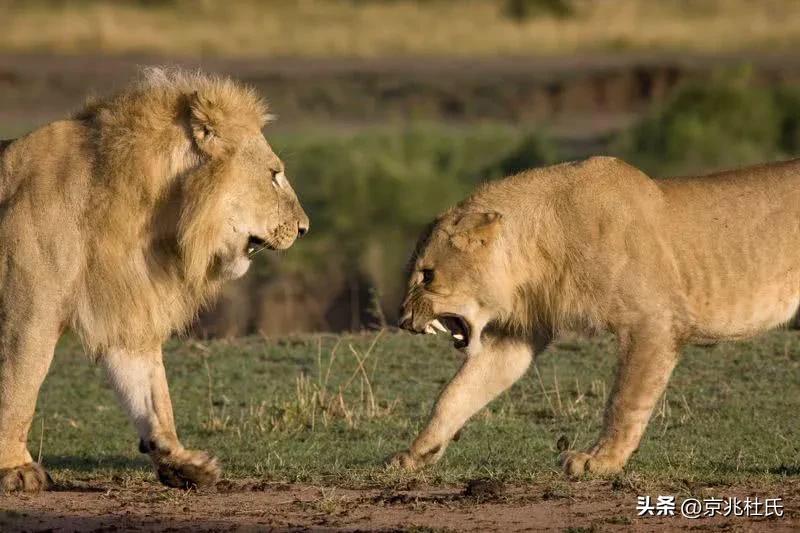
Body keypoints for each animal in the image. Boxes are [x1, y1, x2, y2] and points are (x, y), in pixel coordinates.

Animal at [0, 66, 310, 490]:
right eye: (274, 174)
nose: (305, 228)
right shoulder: (27, 311)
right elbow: (18, 385)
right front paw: (14, 468)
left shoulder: (126, 308)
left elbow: (150, 392)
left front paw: (180, 462)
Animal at [392, 156, 800, 476]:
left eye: (427, 275)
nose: (403, 319)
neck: (539, 244)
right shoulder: (514, 337)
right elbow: (456, 394)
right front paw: (415, 453)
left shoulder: (653, 320)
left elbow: (624, 400)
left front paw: (599, 462)